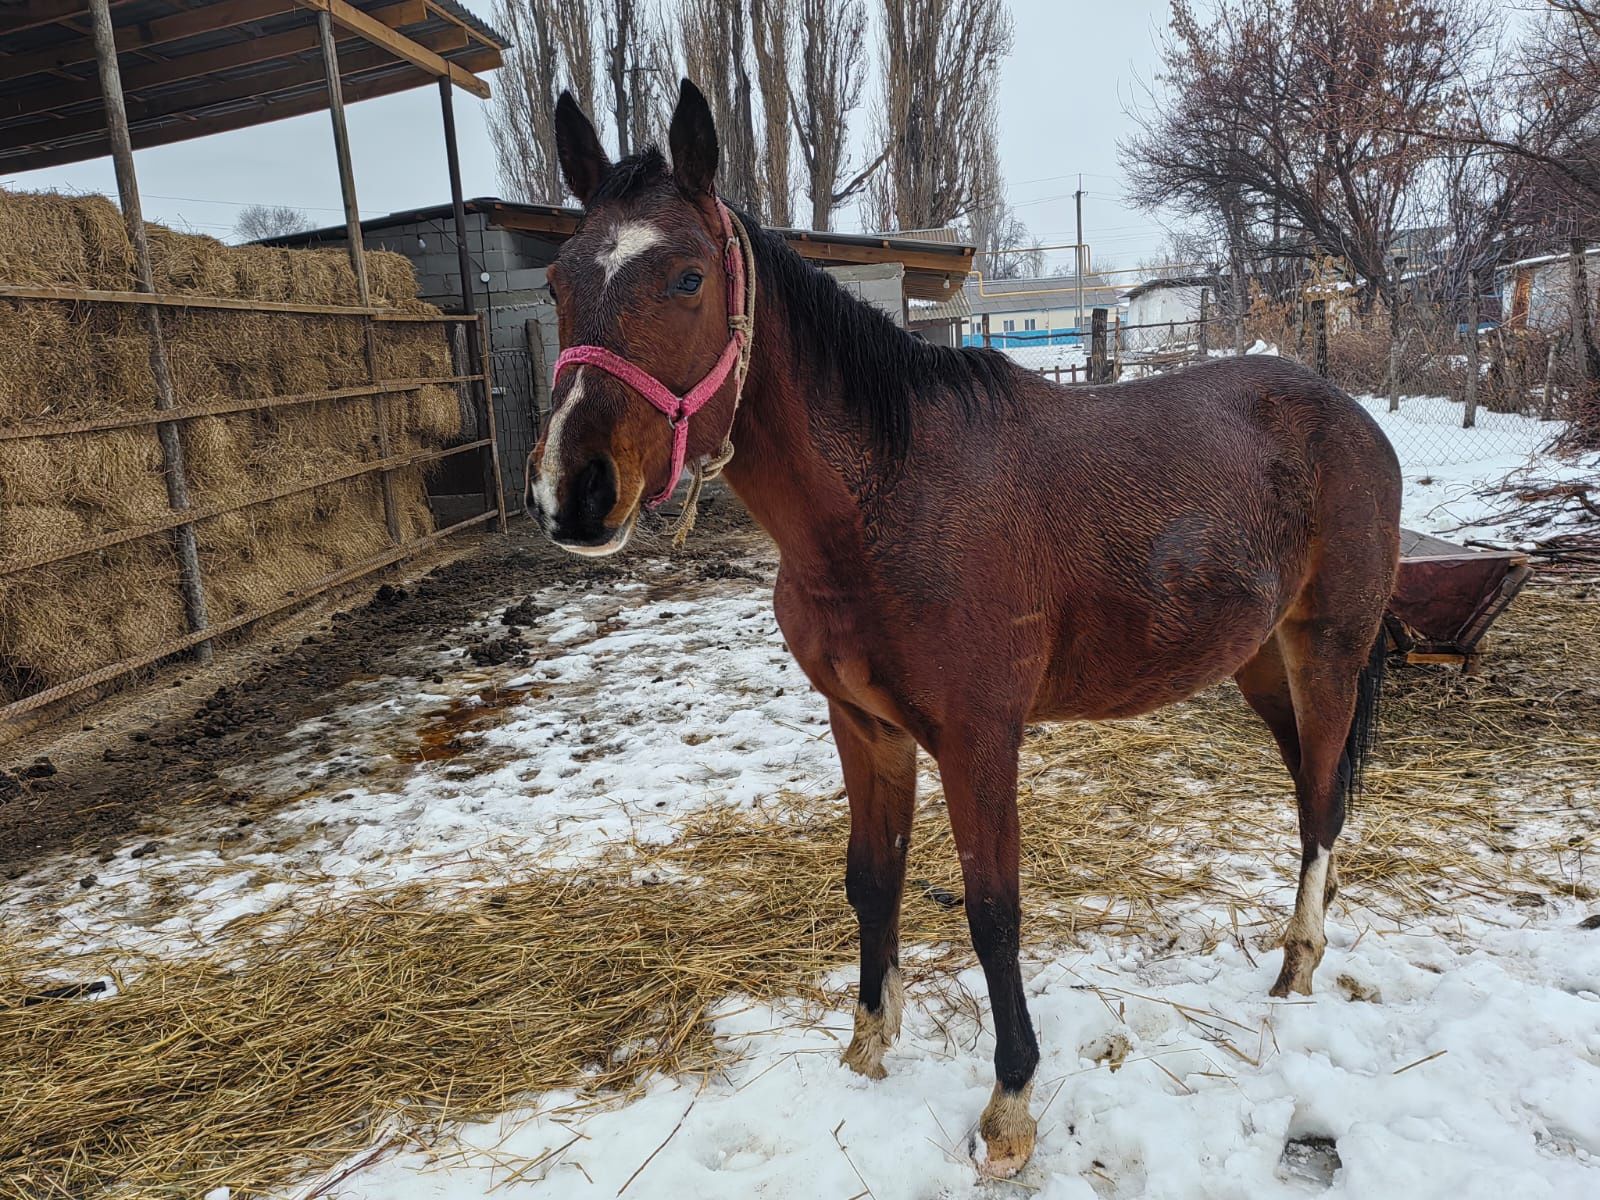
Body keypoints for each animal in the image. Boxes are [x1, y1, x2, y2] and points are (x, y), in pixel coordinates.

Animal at [531, 80, 1395, 1177]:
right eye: (558, 280)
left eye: (687, 277)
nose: (574, 493)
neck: (887, 501)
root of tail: (1349, 410)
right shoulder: (865, 727)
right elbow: (872, 881)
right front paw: (866, 1048)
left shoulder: (979, 740)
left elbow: (992, 911)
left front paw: (1011, 1106)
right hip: (1257, 664)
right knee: (1314, 793)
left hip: (1327, 648)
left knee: (1323, 799)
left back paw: (1296, 969)